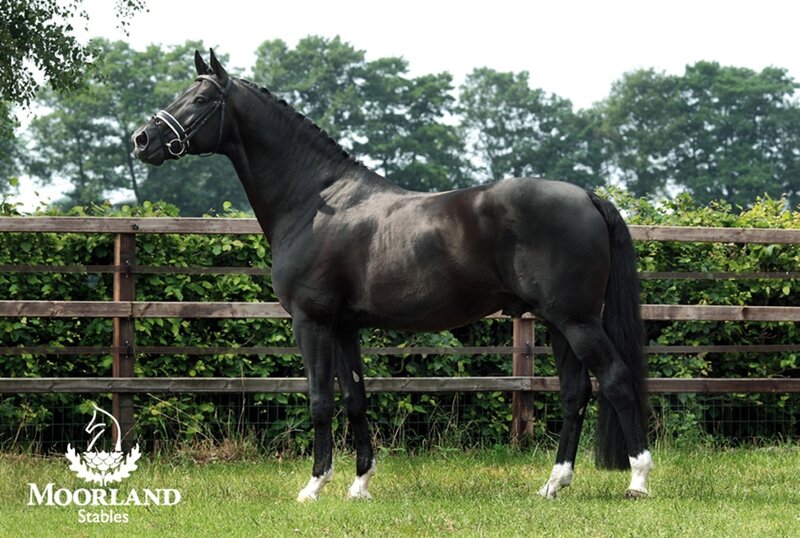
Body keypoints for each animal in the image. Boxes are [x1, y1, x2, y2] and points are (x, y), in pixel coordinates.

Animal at [132, 50, 653, 501]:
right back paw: (553, 484)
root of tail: (588, 196)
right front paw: (359, 484)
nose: (141, 139)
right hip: (558, 323)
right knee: (575, 393)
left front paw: (313, 486)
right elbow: (355, 399)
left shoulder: (311, 322)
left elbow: (320, 400)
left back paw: (638, 480)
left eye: (201, 99)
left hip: (576, 321)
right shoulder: (345, 328)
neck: (316, 199)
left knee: (616, 379)